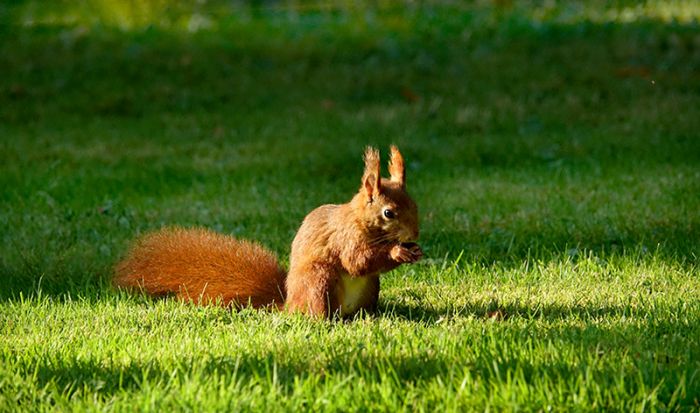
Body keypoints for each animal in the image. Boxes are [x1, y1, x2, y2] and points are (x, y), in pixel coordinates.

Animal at [114, 145, 422, 318]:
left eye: (414, 204)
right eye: (388, 213)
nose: (414, 235)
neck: (361, 221)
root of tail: (289, 304)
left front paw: (413, 251)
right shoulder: (345, 238)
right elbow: (357, 260)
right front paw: (397, 252)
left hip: (370, 288)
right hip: (319, 280)